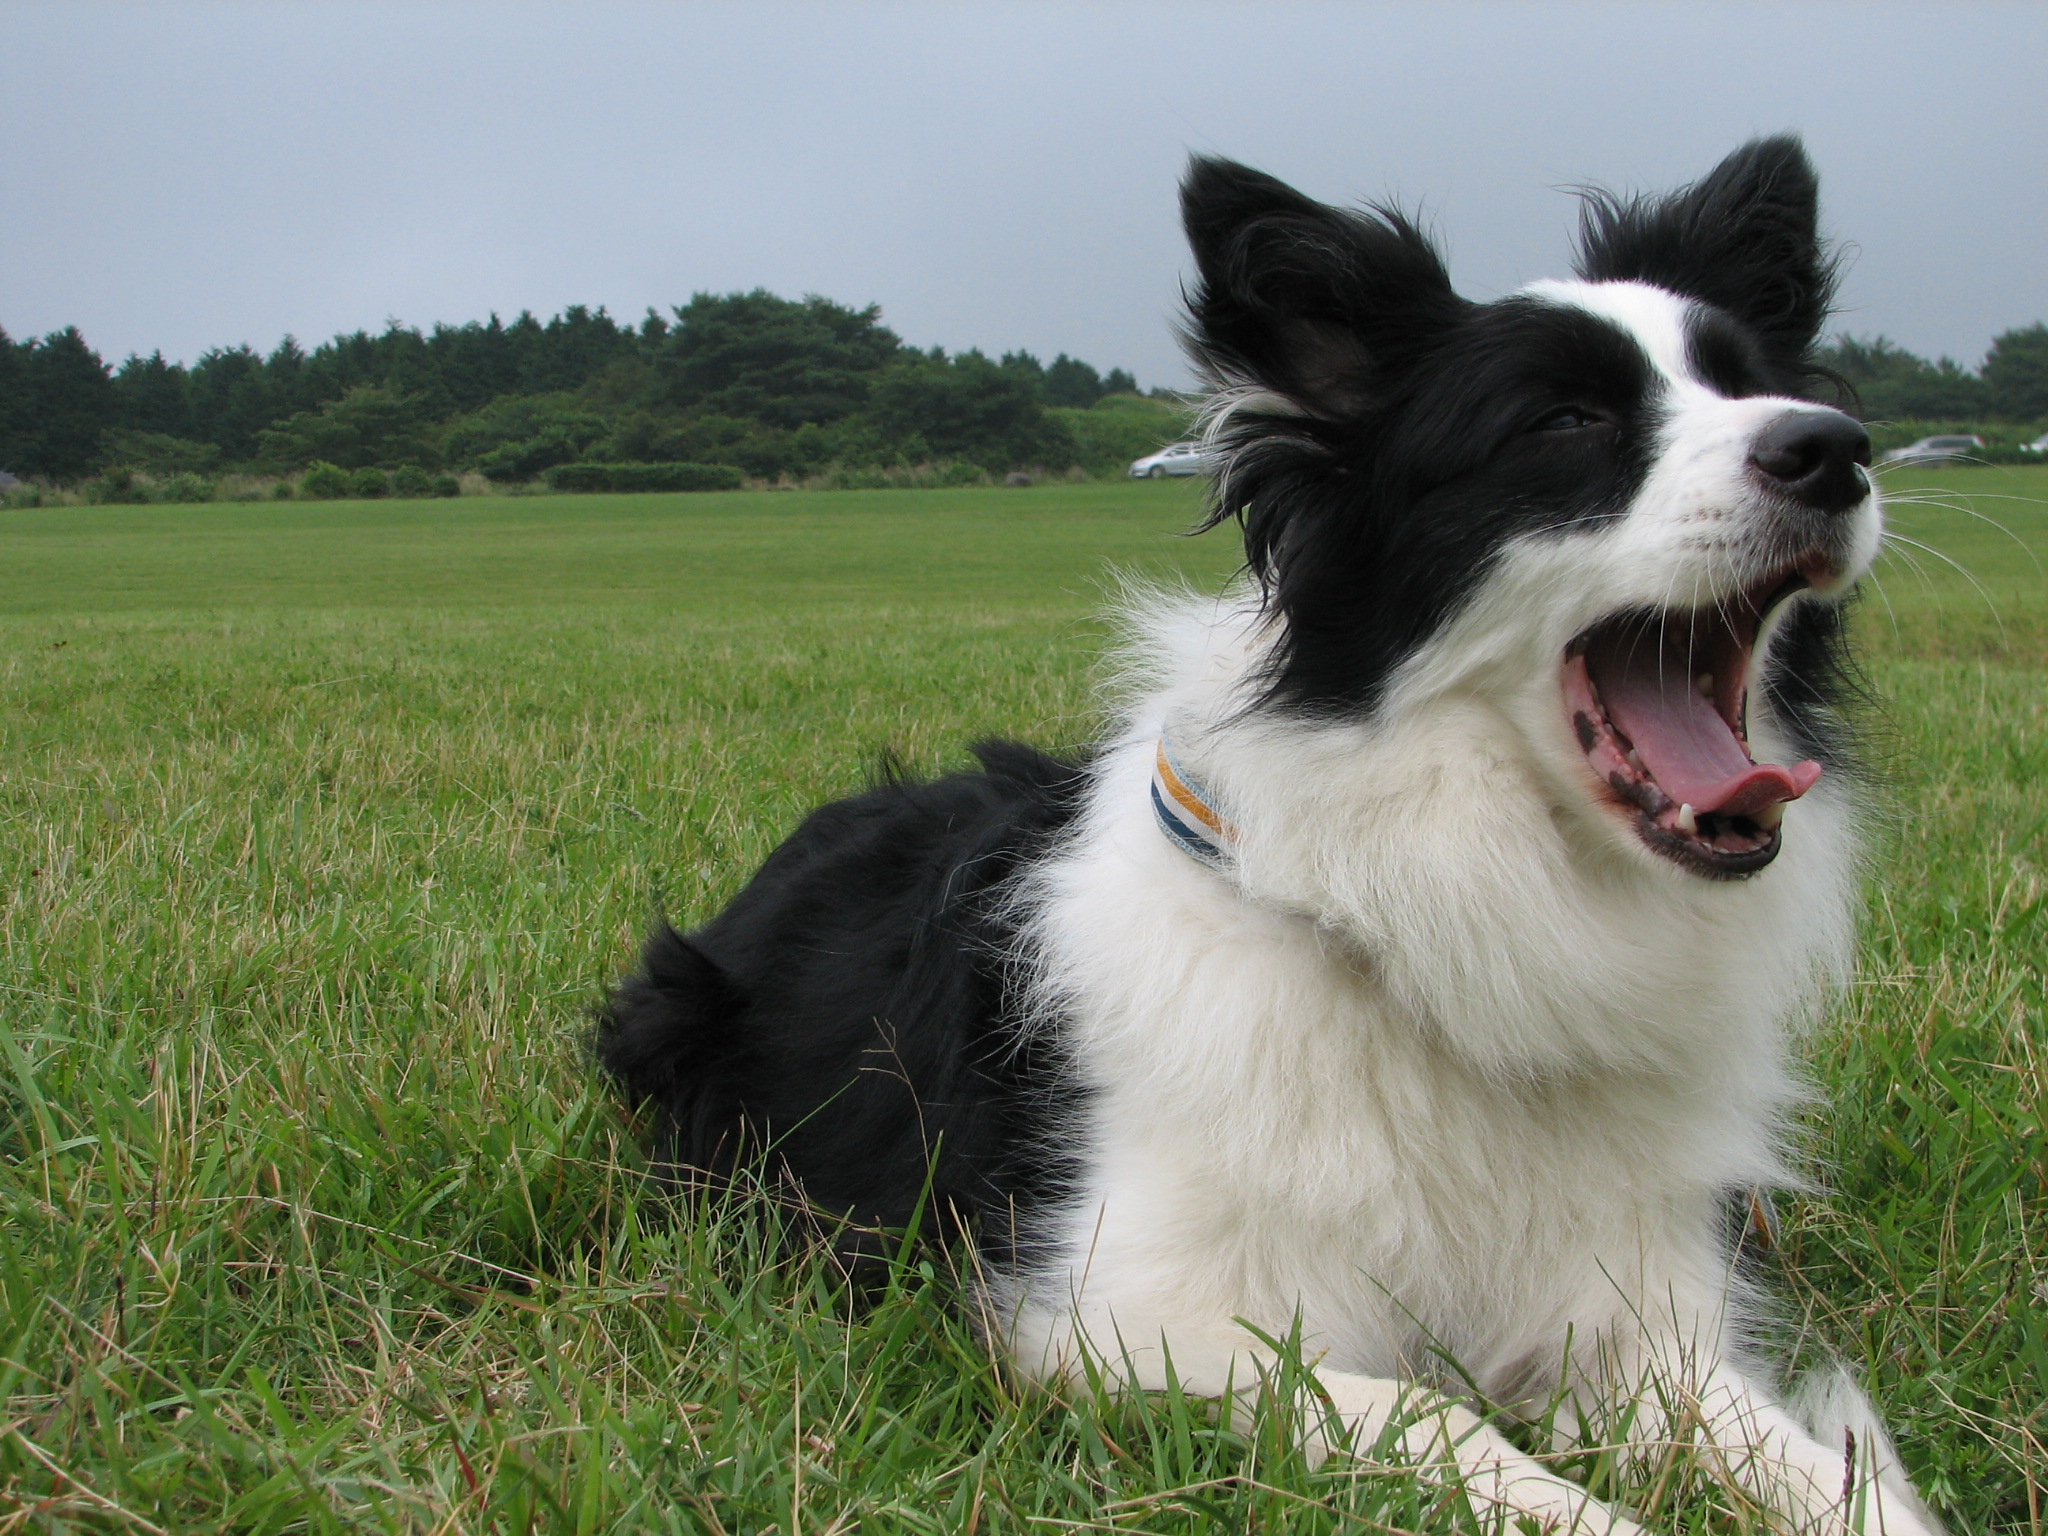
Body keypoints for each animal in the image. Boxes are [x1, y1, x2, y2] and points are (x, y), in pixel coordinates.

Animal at [598, 138, 1941, 1531]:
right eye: (1563, 422)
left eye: (1750, 386)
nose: (1831, 449)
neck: (1430, 922)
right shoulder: (1109, 1314)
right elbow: (1429, 1416)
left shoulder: (1638, 1320)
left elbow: (1822, 1476)